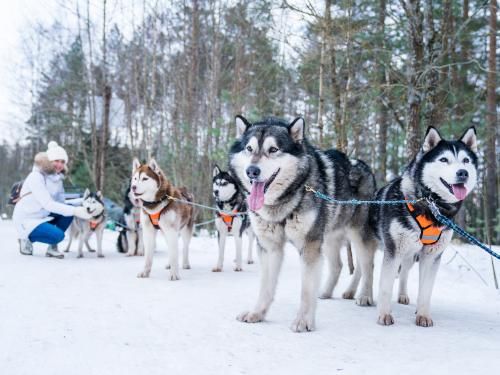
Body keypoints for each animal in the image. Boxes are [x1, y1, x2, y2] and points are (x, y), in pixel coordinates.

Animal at [229, 115, 376, 332]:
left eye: (273, 149)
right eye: (249, 148)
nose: (252, 171)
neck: (283, 203)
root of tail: (363, 165)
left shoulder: (309, 246)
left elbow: (306, 290)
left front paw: (304, 321)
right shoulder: (269, 247)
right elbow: (266, 287)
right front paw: (257, 313)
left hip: (358, 237)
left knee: (367, 266)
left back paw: (365, 296)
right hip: (329, 239)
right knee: (338, 265)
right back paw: (325, 292)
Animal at [374, 128, 478, 328]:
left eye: (466, 160)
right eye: (444, 159)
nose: (463, 173)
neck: (431, 205)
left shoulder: (431, 256)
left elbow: (425, 290)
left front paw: (422, 315)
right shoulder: (393, 251)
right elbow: (385, 287)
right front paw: (384, 314)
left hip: (410, 255)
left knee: (404, 273)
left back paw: (403, 295)